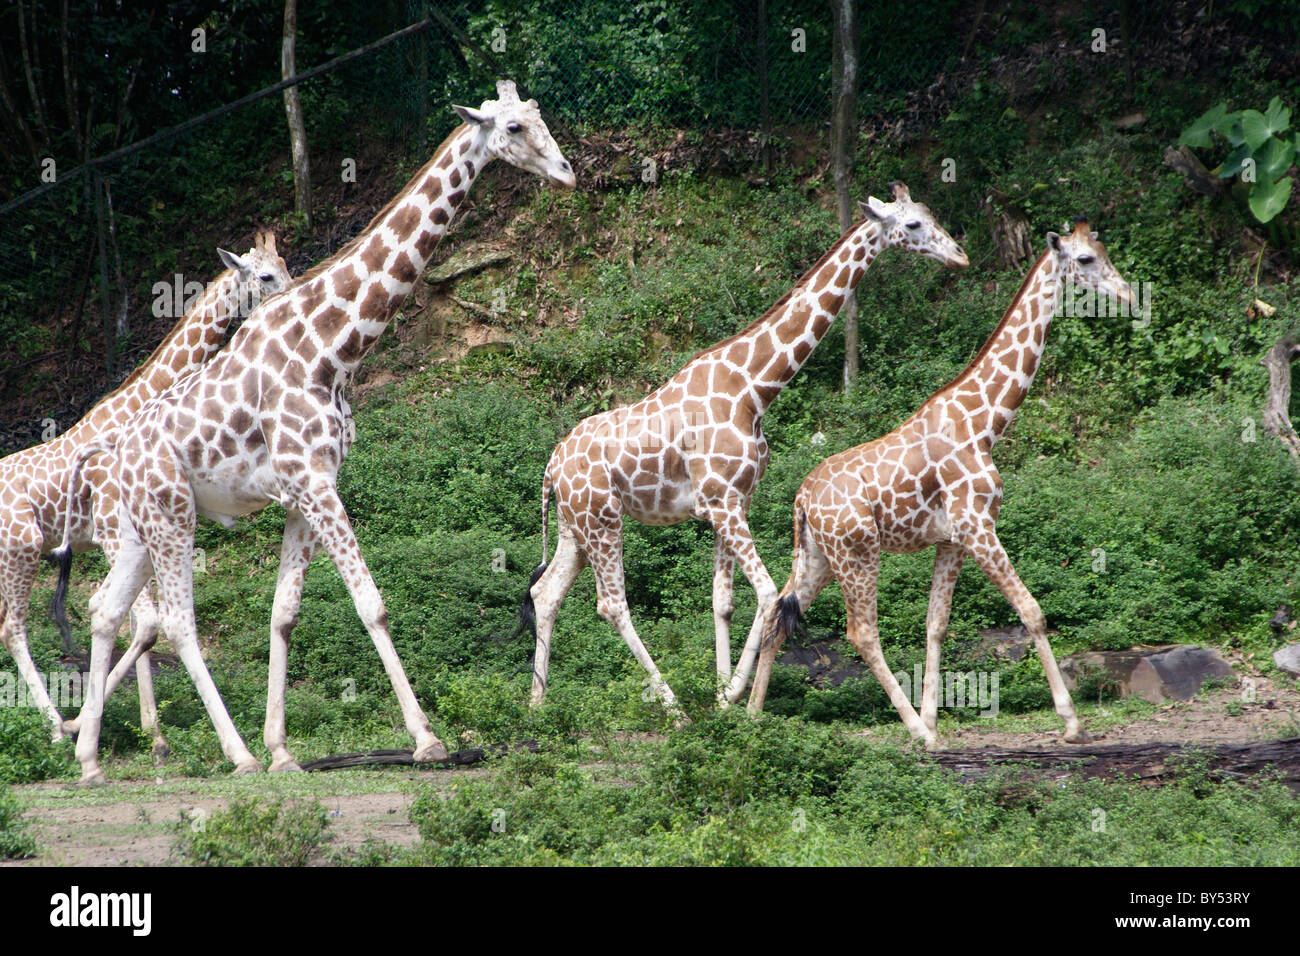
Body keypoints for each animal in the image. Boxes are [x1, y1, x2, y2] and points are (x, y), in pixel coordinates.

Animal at [0, 230, 287, 749]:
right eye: (266, 275)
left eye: (286, 264)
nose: (296, 293)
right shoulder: (116, 534)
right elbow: (142, 620)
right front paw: (88, 723)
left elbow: (140, 624)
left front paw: (153, 734)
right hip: (23, 548)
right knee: (13, 629)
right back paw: (55, 728)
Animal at [54, 80, 574, 785]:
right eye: (515, 128)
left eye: (540, 115)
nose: (567, 172)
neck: (336, 347)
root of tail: (113, 451)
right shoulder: (314, 483)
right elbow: (371, 603)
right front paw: (426, 740)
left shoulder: (306, 490)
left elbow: (284, 614)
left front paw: (283, 750)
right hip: (172, 516)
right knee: (176, 622)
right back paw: (233, 756)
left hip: (137, 529)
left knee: (109, 611)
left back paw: (89, 759)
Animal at [517, 183, 967, 712]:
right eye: (913, 225)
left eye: (930, 214)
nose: (959, 255)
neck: (753, 388)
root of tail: (550, 466)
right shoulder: (724, 503)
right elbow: (770, 592)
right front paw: (731, 693)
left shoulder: (730, 503)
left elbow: (723, 601)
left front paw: (720, 695)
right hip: (601, 519)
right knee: (611, 604)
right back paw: (673, 708)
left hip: (574, 526)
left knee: (547, 593)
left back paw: (537, 706)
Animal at [748, 218, 1133, 749]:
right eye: (1086, 260)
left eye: (1104, 250)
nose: (1129, 294)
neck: (986, 423)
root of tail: (802, 499)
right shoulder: (978, 526)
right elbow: (1032, 611)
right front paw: (1071, 722)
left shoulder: (951, 539)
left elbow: (936, 625)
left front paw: (934, 718)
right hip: (857, 553)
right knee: (861, 632)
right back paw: (912, 730)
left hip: (817, 557)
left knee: (777, 618)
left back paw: (749, 720)